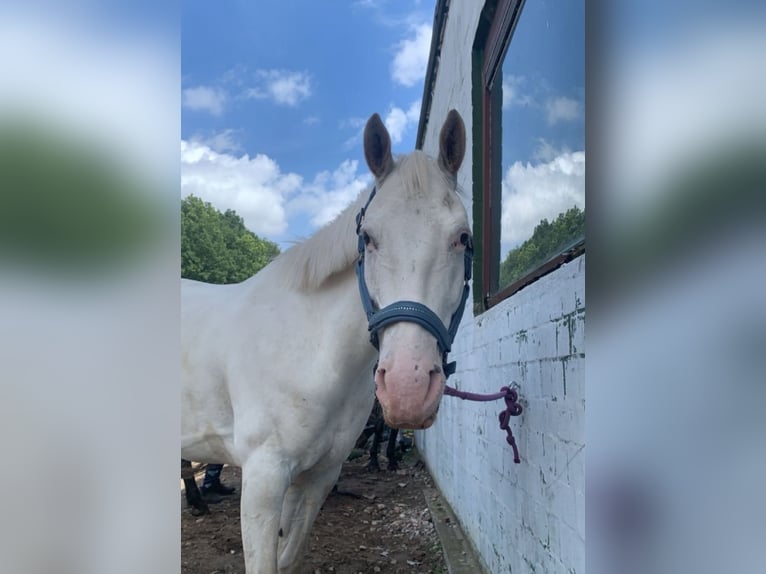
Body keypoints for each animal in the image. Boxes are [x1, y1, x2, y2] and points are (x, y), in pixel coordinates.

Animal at [184, 110, 474, 572]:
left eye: (462, 237)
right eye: (368, 237)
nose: (407, 389)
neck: (309, 350)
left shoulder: (317, 477)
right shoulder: (263, 479)